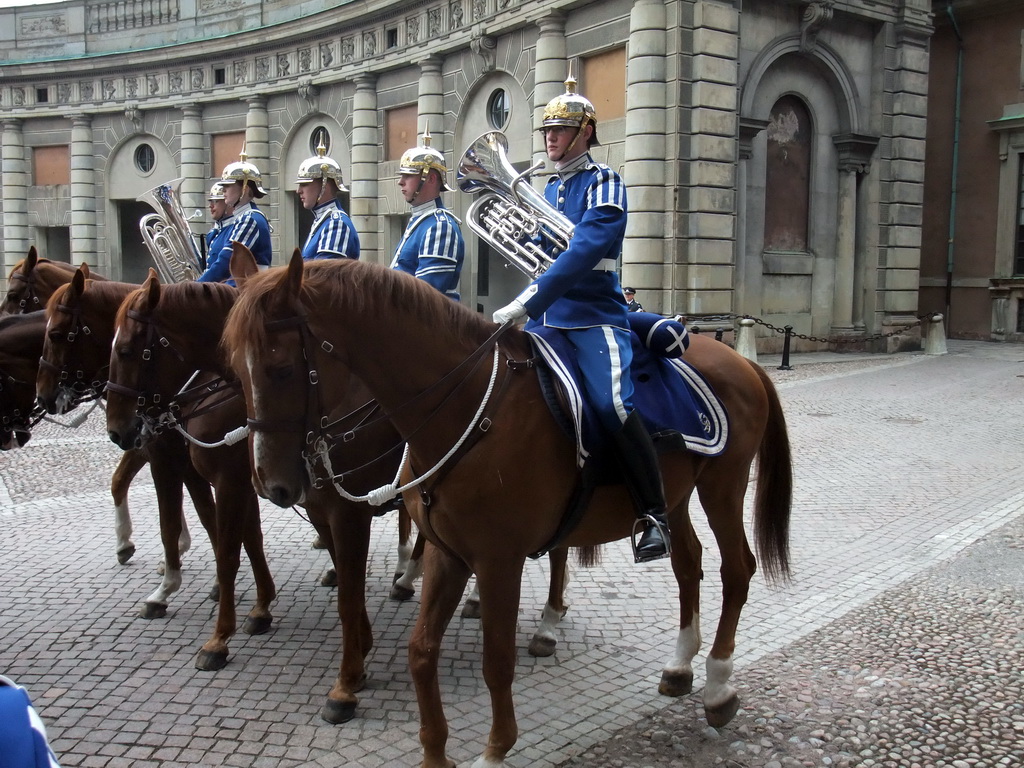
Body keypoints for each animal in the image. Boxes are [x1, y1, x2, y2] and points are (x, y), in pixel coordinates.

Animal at [37, 274, 218, 622]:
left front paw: (168, 586)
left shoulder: (168, 451)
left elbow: (179, 516)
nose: (44, 396)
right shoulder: (161, 447)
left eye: (56, 334)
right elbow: (182, 507)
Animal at [224, 256, 790, 765]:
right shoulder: (448, 554)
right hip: (674, 496)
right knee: (687, 564)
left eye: (279, 368)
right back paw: (679, 667)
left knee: (736, 570)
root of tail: (741, 360)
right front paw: (435, 754)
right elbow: (420, 652)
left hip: (723, 486)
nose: (270, 482)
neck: (465, 408)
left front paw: (495, 750)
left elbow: (496, 660)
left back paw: (718, 687)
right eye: (235, 371)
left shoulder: (498, 561)